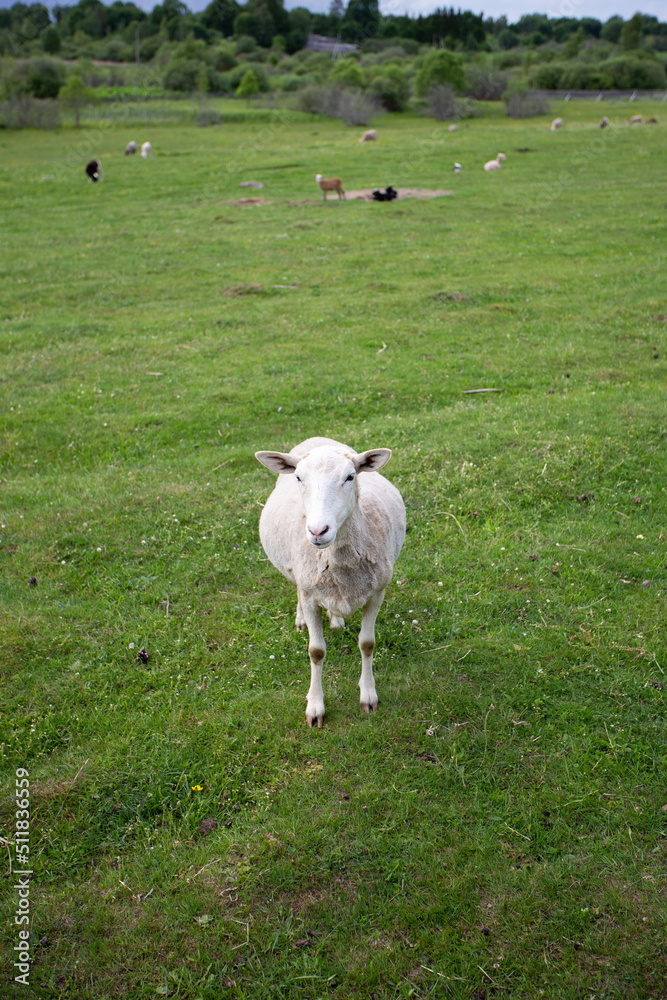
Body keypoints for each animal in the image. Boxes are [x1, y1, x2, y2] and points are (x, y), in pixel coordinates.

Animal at [255, 437, 406, 728]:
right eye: (299, 477)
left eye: (350, 477)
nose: (317, 531)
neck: (339, 562)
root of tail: (317, 439)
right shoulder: (310, 594)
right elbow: (316, 651)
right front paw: (315, 707)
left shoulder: (377, 592)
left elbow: (367, 643)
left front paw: (368, 696)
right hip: (298, 573)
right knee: (296, 588)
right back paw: (301, 619)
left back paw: (336, 620)